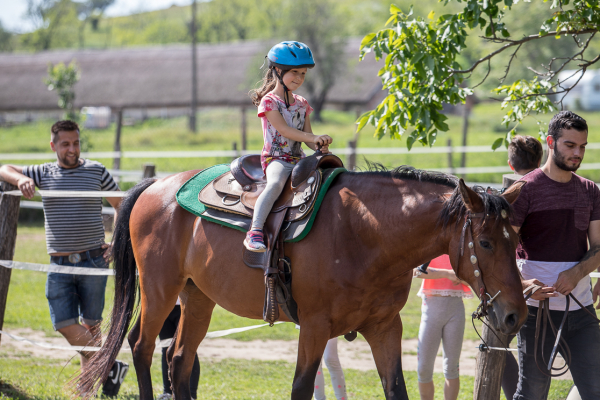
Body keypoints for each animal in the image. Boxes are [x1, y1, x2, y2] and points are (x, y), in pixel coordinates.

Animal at [78, 164, 524, 398]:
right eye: (485, 242)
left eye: (517, 238)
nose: (515, 315)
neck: (366, 233)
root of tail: (156, 184)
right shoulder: (313, 327)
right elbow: (301, 387)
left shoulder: (384, 328)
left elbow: (396, 389)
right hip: (160, 290)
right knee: (141, 345)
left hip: (198, 298)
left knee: (179, 357)